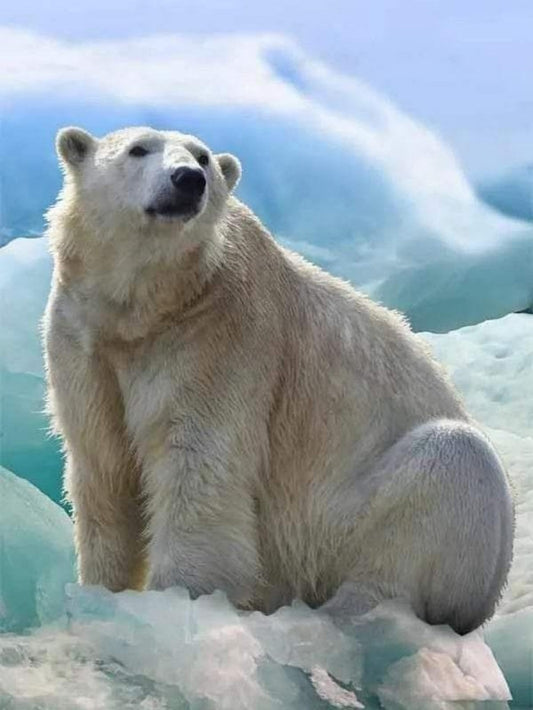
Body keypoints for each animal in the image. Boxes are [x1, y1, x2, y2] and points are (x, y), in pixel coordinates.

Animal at [43, 126, 514, 634]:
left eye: (203, 157)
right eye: (138, 149)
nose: (188, 180)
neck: (149, 307)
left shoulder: (219, 336)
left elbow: (198, 466)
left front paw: (179, 600)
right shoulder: (84, 341)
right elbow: (104, 465)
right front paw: (100, 593)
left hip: (354, 521)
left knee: (446, 470)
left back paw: (348, 613)